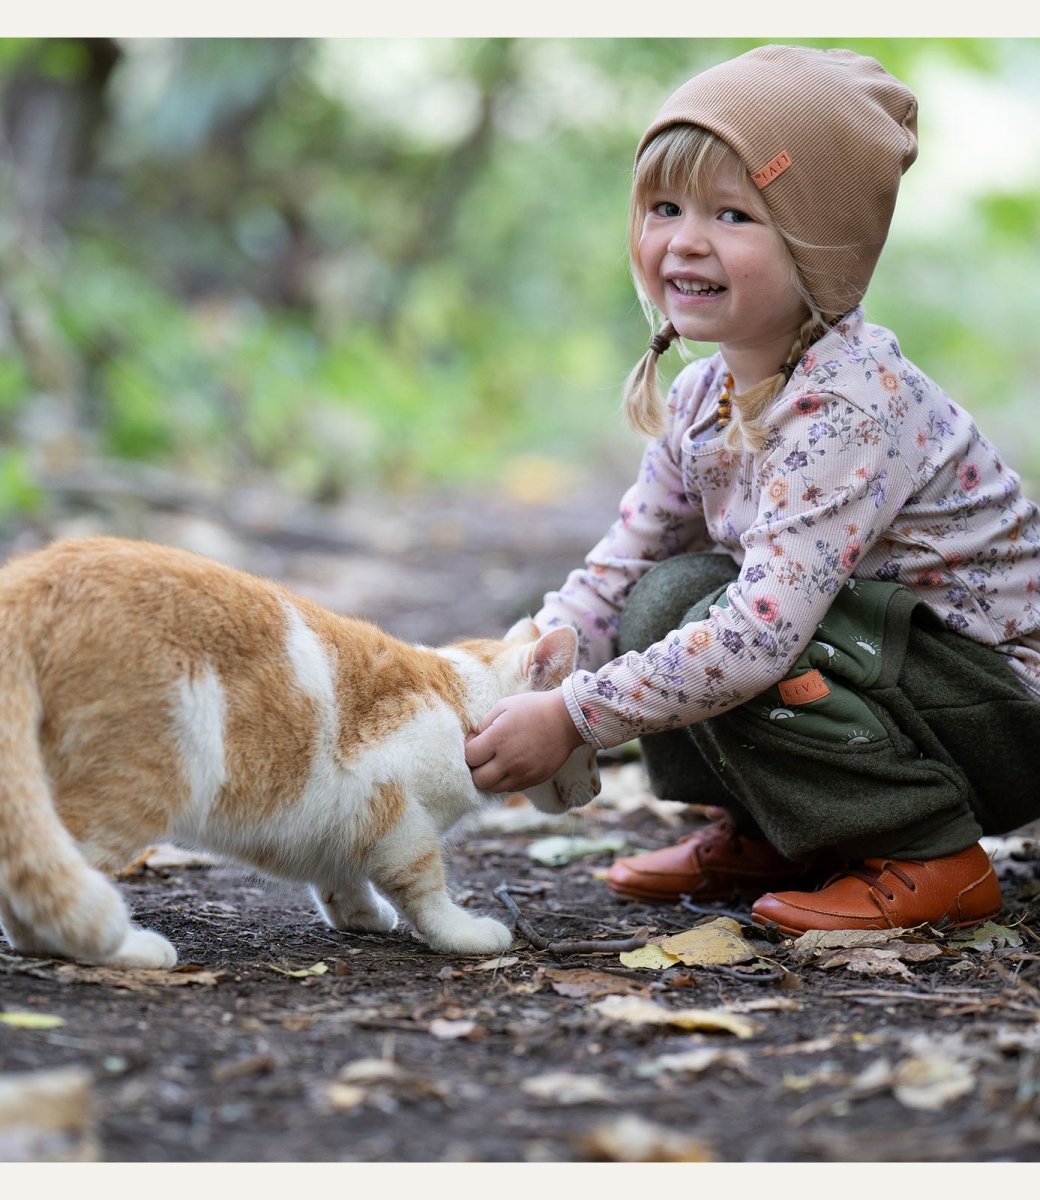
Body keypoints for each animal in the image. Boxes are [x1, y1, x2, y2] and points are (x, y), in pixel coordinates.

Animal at [0, 540, 602, 969]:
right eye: (587, 750)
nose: (598, 787)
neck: (460, 705)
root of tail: (33, 575)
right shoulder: (397, 812)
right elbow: (425, 886)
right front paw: (462, 932)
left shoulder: (345, 815)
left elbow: (340, 874)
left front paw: (359, 914)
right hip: (142, 781)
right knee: (47, 881)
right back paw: (124, 948)